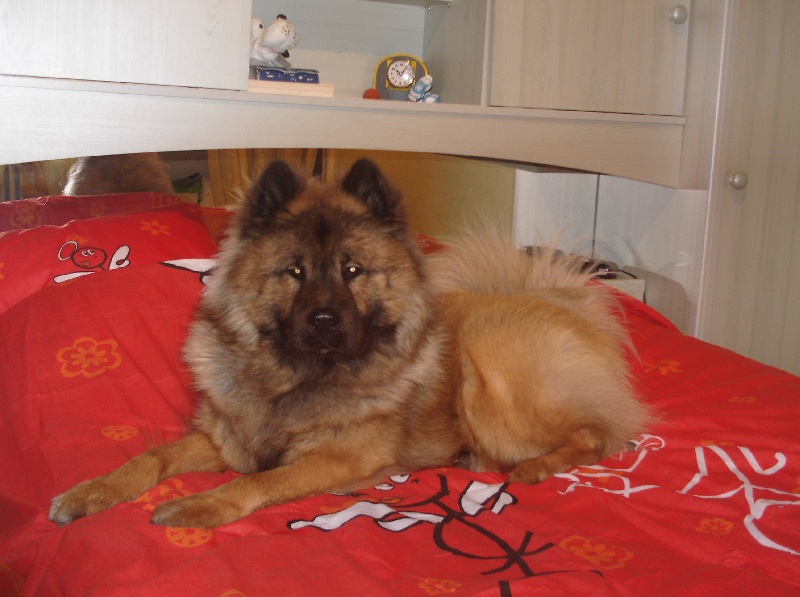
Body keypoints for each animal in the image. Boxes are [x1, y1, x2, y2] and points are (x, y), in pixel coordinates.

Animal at [49, 159, 650, 529]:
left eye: (353, 270)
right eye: (294, 271)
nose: (323, 320)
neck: (293, 380)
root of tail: (566, 301)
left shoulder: (338, 457)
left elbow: (267, 480)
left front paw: (201, 505)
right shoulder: (227, 440)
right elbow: (149, 456)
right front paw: (91, 493)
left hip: (490, 383)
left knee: (598, 434)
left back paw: (531, 469)